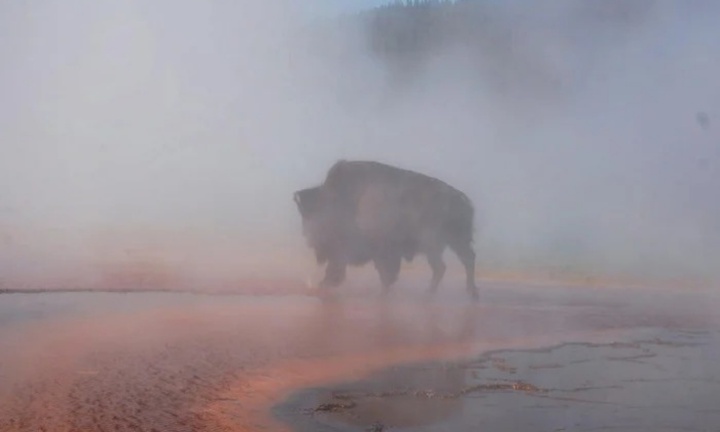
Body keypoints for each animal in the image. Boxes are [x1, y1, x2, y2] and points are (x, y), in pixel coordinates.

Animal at [293, 160, 479, 300]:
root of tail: (464, 200)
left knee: (445, 266)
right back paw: (465, 293)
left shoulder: (369, 249)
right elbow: (385, 273)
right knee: (459, 262)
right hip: (452, 243)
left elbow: (385, 272)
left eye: (311, 217)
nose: (307, 237)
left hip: (435, 244)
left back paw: (435, 293)